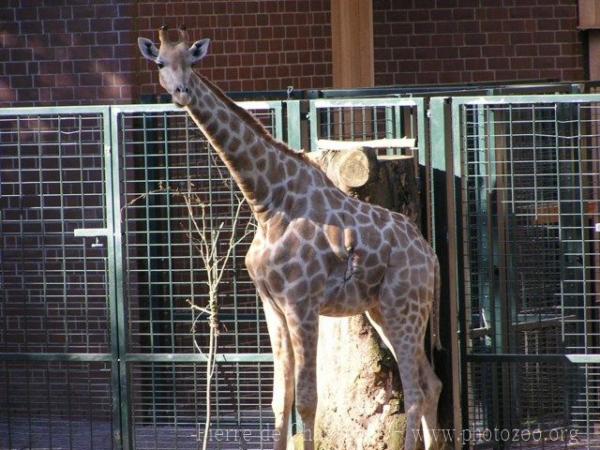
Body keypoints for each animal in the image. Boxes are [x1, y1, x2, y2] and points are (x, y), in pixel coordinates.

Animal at [138, 27, 442, 450]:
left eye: (191, 61)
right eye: (160, 62)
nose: (181, 91)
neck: (267, 205)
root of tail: (431, 257)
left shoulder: (302, 303)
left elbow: (308, 400)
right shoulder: (273, 306)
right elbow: (280, 400)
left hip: (404, 306)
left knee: (414, 391)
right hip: (383, 309)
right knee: (432, 384)